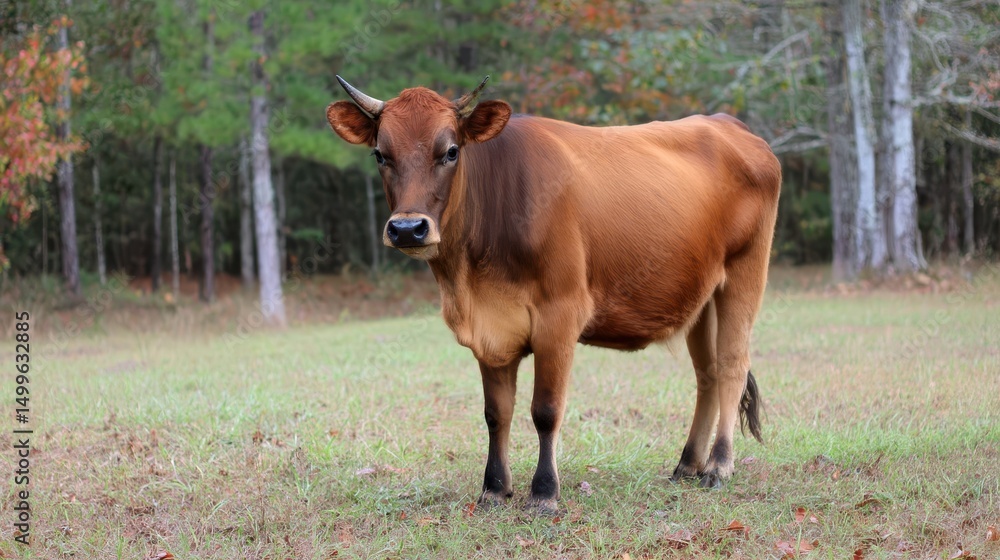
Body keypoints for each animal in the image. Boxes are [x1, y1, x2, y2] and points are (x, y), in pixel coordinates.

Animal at [326, 75, 781, 514]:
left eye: (451, 151)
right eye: (380, 154)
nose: (407, 229)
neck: (470, 278)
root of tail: (728, 123)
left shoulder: (560, 314)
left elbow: (544, 411)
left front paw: (544, 492)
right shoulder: (490, 330)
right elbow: (496, 413)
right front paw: (494, 489)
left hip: (745, 271)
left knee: (732, 365)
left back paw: (719, 466)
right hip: (700, 295)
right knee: (707, 375)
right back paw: (688, 464)